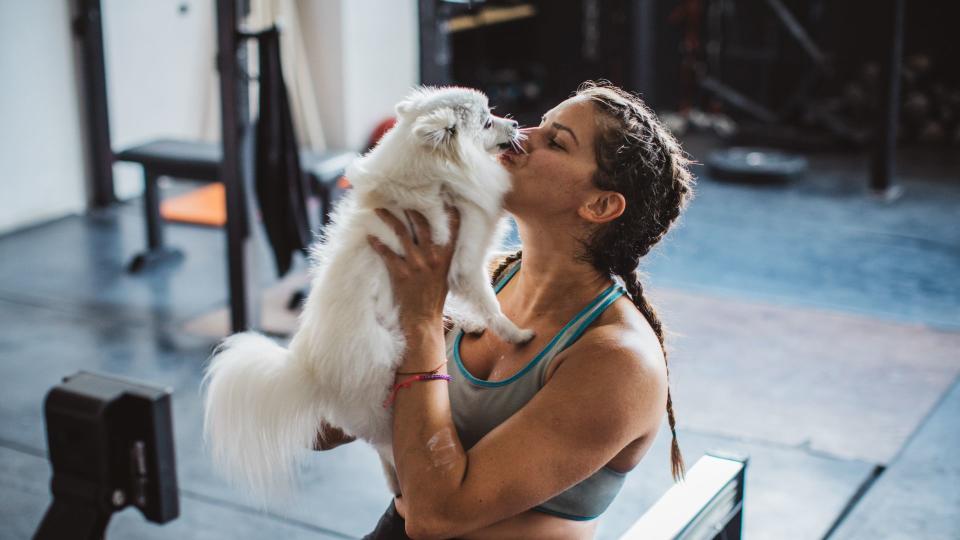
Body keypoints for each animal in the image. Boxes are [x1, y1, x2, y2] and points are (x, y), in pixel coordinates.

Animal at [202, 86, 532, 504]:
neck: (434, 176)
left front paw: (469, 321)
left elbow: (464, 301)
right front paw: (515, 334)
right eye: (488, 122)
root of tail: (308, 371)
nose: (517, 123)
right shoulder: (465, 262)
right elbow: (489, 303)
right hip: (380, 397)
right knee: (387, 449)